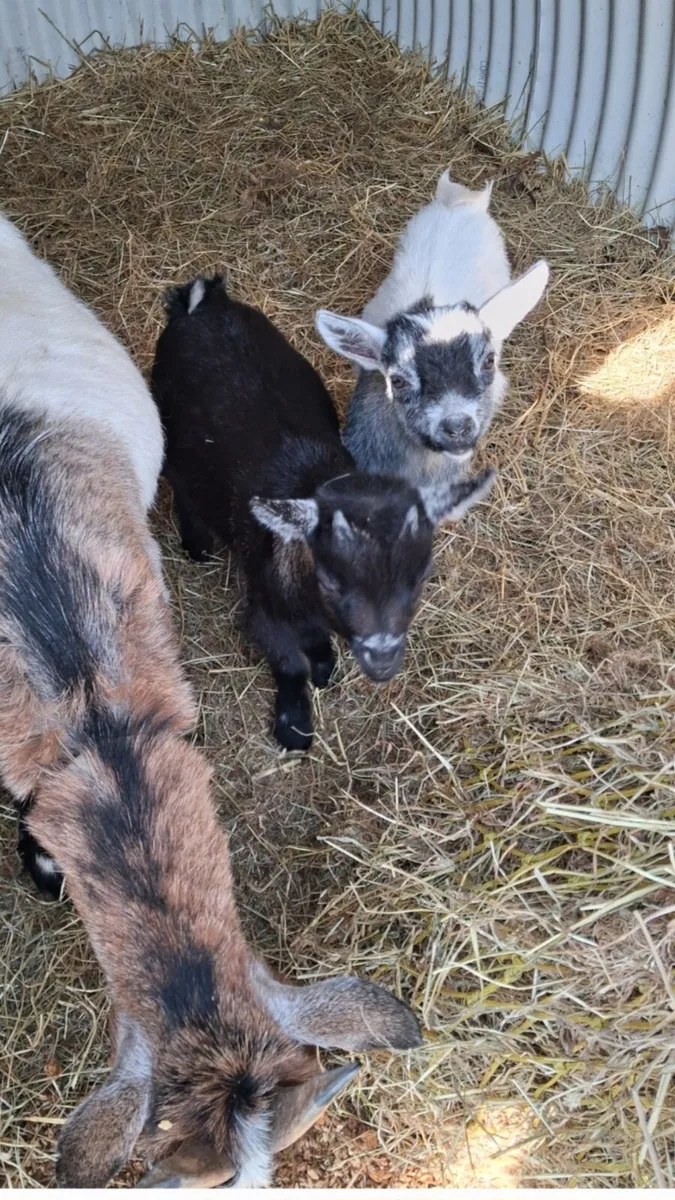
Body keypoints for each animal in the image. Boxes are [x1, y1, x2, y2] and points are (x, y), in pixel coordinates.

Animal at [151, 275, 495, 751]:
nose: (382, 659)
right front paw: (294, 726)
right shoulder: (264, 610)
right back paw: (197, 544)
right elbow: (288, 664)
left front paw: (324, 662)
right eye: (331, 579)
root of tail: (201, 305)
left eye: (421, 575)